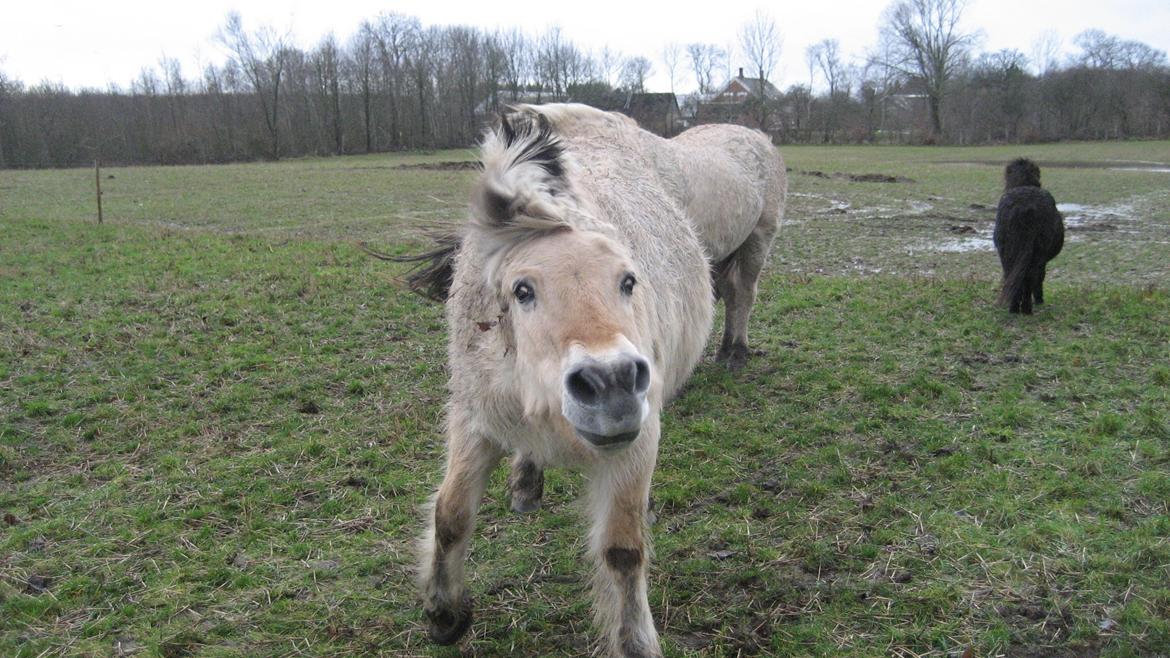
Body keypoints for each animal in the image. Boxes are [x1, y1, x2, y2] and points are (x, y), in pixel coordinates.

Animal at [416, 104, 716, 650]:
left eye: (628, 280)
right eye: (522, 290)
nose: (611, 384)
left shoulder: (637, 444)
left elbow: (622, 551)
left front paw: (635, 643)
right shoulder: (475, 419)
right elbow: (450, 515)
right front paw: (444, 615)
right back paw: (525, 487)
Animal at [992, 158, 1067, 311]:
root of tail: (1025, 206)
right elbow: (1040, 278)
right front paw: (1039, 300)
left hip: (1007, 251)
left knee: (1012, 276)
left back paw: (1014, 309)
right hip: (1039, 251)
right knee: (1031, 276)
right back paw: (1027, 309)